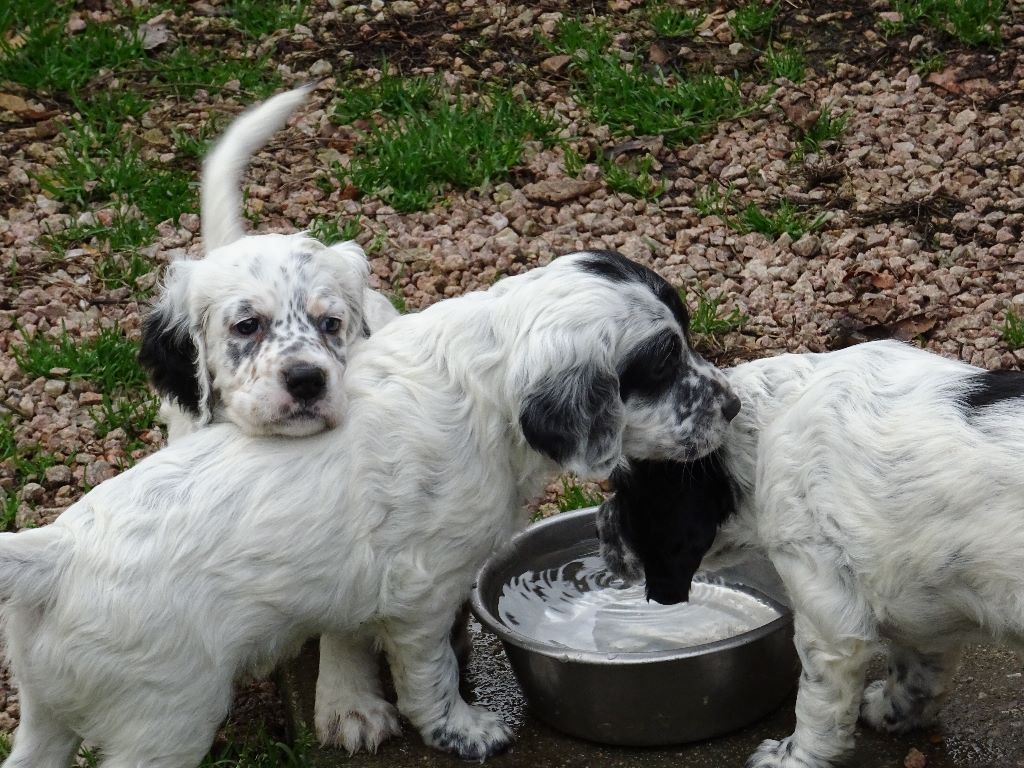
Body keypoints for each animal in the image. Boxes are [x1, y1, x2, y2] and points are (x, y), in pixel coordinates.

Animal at [0, 252, 737, 768]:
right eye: (661, 364)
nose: (730, 405)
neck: (484, 388)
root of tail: (55, 557)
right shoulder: (423, 593)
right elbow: (432, 673)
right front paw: (464, 731)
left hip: (45, 712)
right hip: (163, 719)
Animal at [598, 342, 1024, 768]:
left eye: (624, 491)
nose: (599, 528)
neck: (760, 431)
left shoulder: (829, 617)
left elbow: (816, 704)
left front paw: (788, 758)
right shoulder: (920, 604)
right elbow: (919, 667)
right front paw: (891, 710)